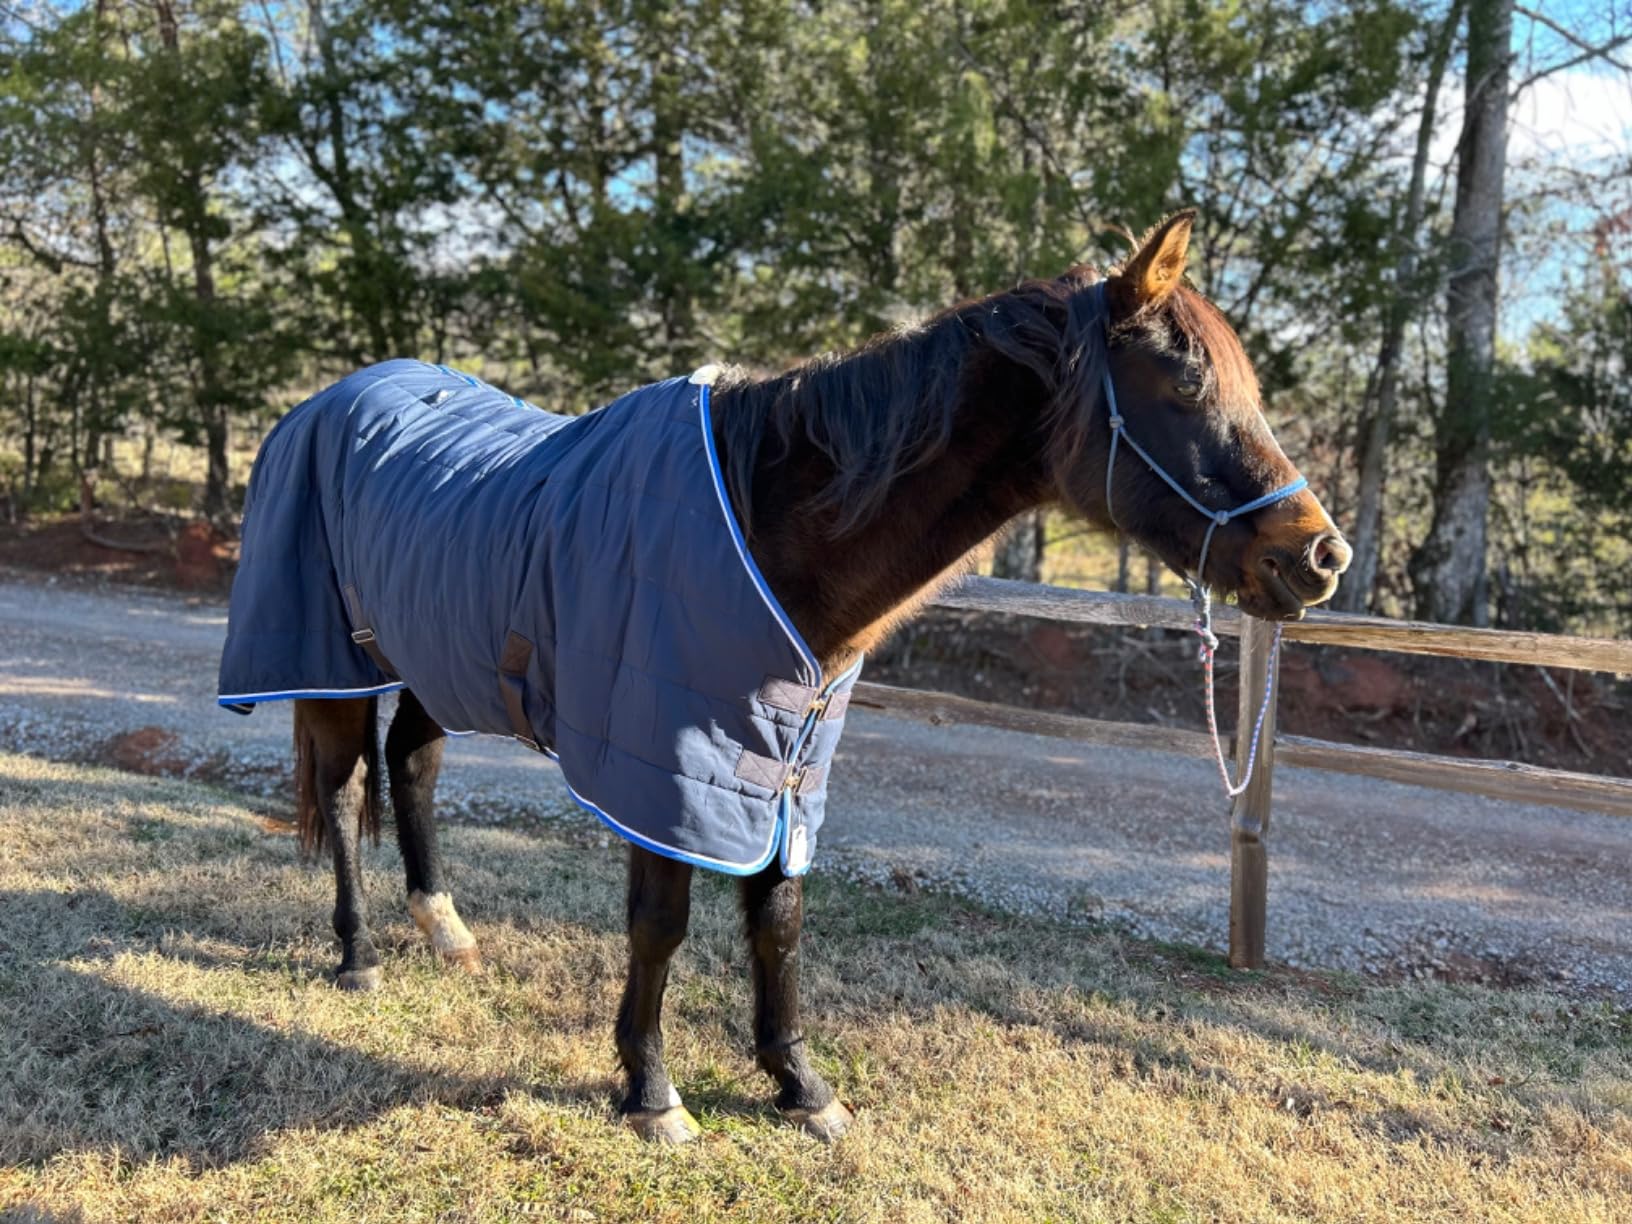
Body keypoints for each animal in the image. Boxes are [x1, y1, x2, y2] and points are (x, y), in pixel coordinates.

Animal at [218, 211, 1350, 1145]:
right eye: (1188, 387)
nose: (1320, 556)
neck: (765, 522)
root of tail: (326, 400)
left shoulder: (784, 761)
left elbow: (779, 917)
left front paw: (800, 1086)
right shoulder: (668, 767)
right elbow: (662, 926)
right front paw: (652, 1094)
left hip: (435, 654)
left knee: (412, 765)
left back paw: (446, 930)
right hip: (326, 660)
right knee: (345, 789)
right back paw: (358, 956)